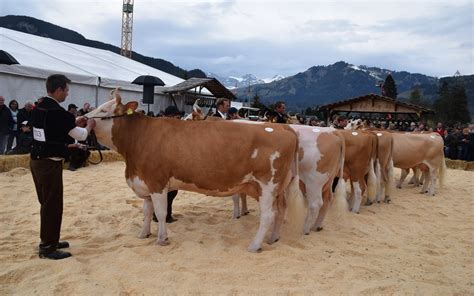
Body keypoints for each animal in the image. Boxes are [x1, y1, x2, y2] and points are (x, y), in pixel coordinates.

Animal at [88, 91, 304, 252]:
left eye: (104, 110)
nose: (83, 118)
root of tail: (283, 128)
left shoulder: (157, 182)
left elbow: (160, 211)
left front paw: (161, 239)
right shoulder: (145, 182)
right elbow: (147, 211)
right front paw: (143, 234)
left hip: (267, 184)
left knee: (268, 215)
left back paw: (254, 245)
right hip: (279, 187)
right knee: (280, 210)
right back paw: (273, 238)